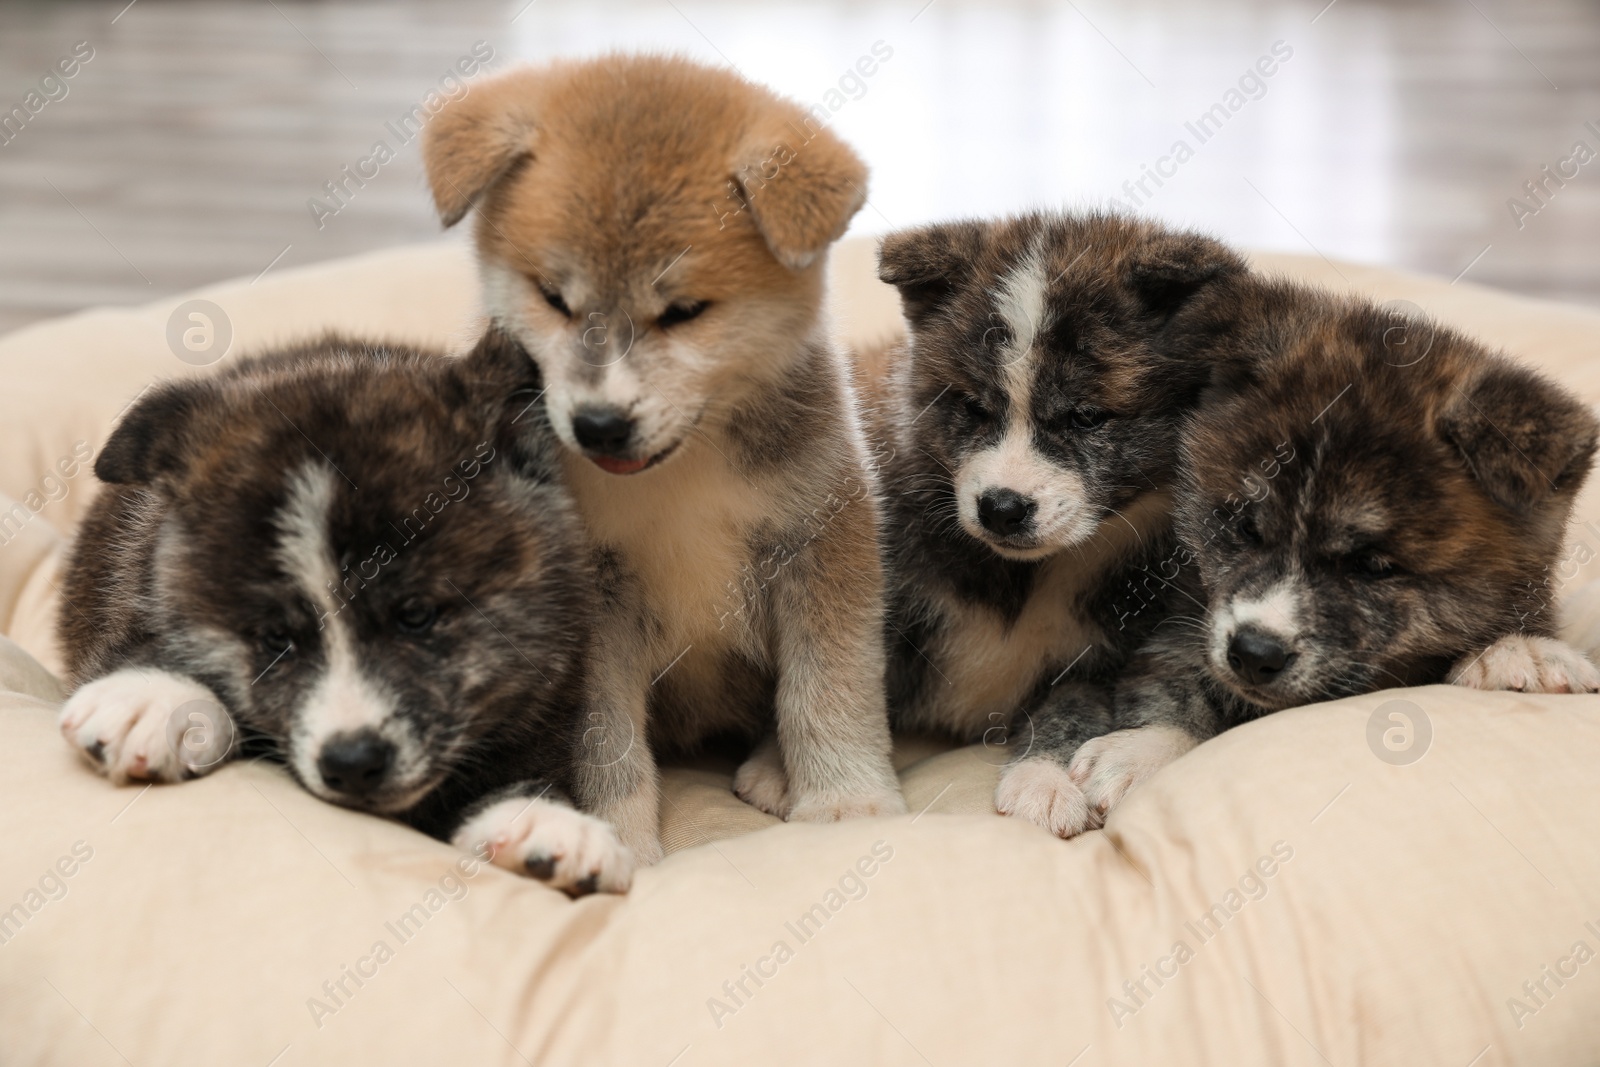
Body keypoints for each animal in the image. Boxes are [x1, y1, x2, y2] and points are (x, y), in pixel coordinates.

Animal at [422, 54, 902, 863]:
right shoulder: (594, 594)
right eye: (553, 299)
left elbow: (830, 685)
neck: (683, 472)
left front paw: (847, 800)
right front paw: (619, 835)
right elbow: (606, 736)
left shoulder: (821, 535)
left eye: (683, 312)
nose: (600, 424)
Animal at [864, 212, 1248, 812]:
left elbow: (1072, 711)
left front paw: (1041, 780)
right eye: (974, 408)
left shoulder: (1100, 659)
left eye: (1086, 416)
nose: (1001, 509)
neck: (1031, 575)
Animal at [1004, 278, 1593, 831]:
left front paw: (1517, 654)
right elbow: (1173, 688)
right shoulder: (1180, 622)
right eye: (1244, 528)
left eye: (1372, 566)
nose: (1254, 653)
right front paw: (1142, 751)